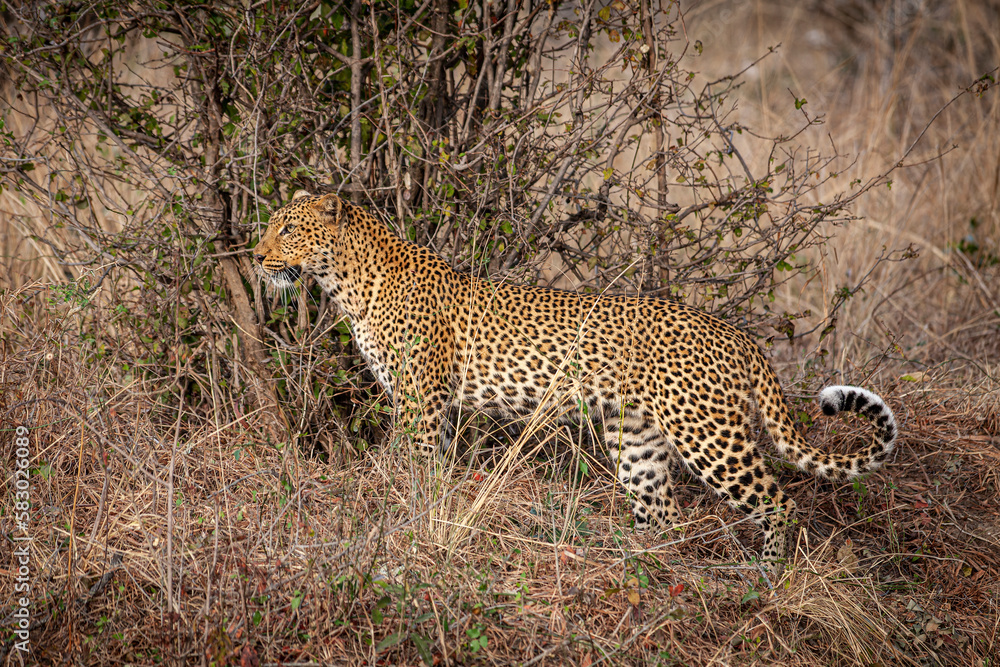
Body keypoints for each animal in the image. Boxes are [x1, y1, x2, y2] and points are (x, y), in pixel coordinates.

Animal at [253, 190, 898, 573]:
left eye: (287, 231)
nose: (256, 258)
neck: (346, 282)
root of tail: (736, 334)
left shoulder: (420, 401)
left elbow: (409, 468)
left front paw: (395, 522)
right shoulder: (430, 407)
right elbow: (431, 473)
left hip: (707, 434)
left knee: (776, 500)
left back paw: (766, 574)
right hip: (635, 436)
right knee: (663, 510)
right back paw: (644, 563)